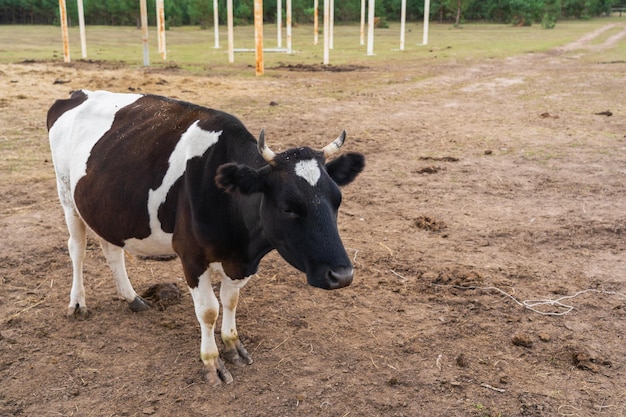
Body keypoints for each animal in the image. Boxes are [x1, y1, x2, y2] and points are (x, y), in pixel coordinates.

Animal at [47, 89, 360, 386]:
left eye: (338, 200)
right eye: (287, 208)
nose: (342, 275)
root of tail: (78, 93)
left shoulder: (237, 260)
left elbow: (230, 301)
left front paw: (233, 345)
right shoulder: (191, 256)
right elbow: (208, 310)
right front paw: (211, 363)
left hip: (106, 208)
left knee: (112, 249)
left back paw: (132, 297)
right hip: (67, 196)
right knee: (77, 248)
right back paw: (78, 303)